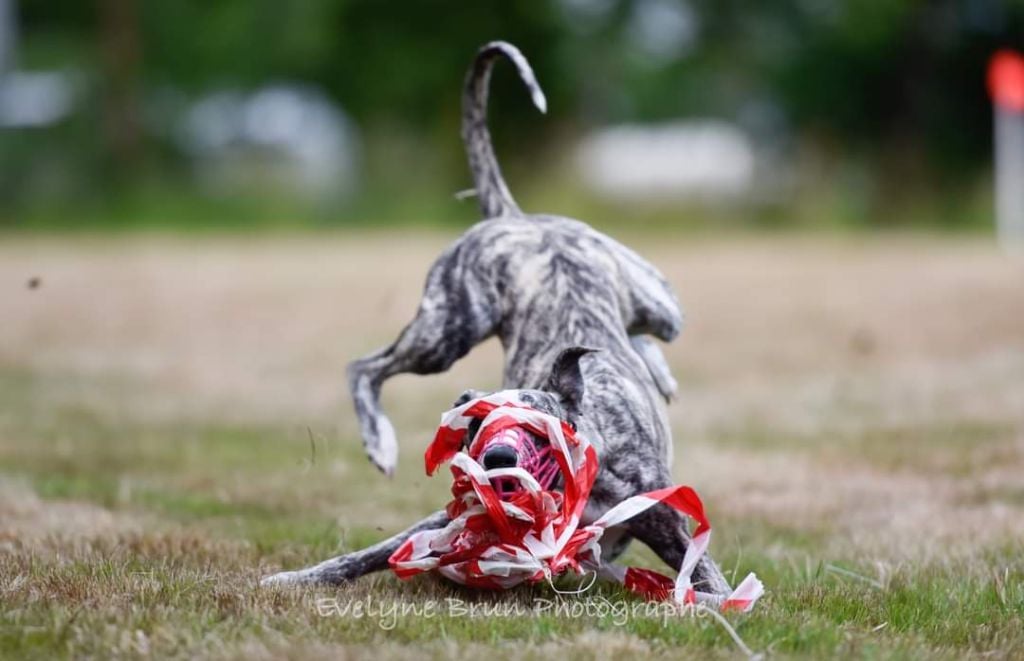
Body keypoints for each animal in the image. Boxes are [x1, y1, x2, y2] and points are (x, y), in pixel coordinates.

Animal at [262, 41, 731, 596]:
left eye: (537, 429)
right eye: (476, 428)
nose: (497, 461)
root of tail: (517, 219)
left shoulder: (664, 521)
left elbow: (712, 587)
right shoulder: (444, 521)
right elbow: (362, 555)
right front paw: (292, 577)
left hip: (652, 303)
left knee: (648, 330)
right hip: (448, 329)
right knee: (364, 367)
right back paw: (379, 441)